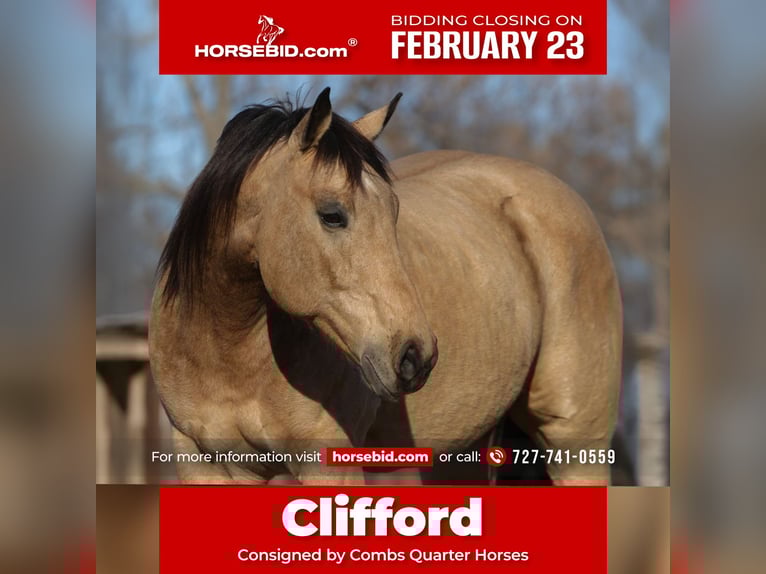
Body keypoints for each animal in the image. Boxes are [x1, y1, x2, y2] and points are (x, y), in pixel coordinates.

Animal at [149, 87, 622, 486]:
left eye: (394, 210)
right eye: (332, 214)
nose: (416, 356)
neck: (227, 354)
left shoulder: (329, 466)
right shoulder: (205, 465)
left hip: (575, 448)